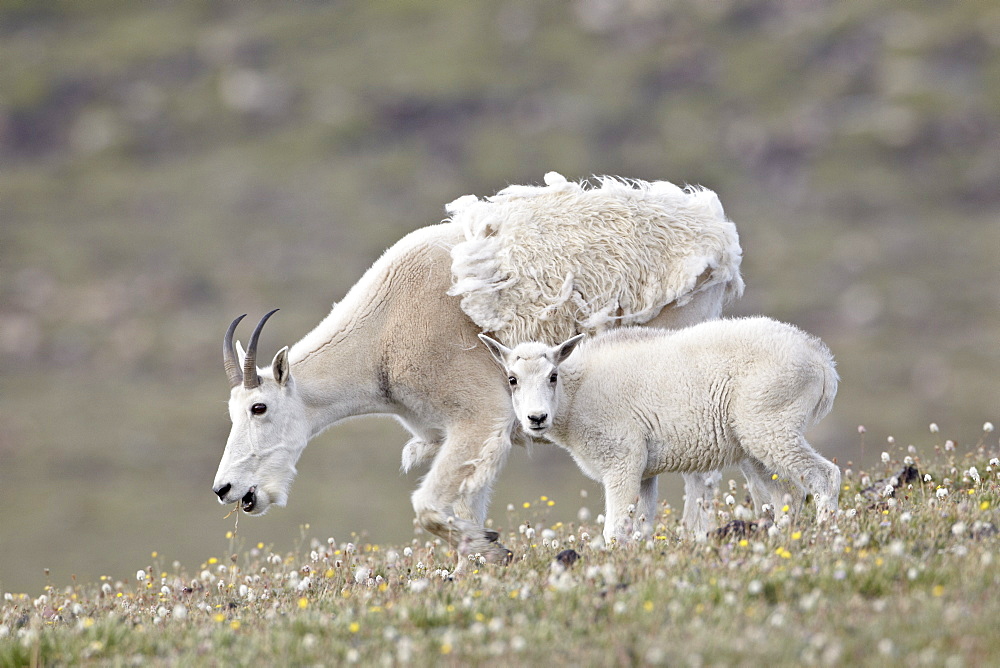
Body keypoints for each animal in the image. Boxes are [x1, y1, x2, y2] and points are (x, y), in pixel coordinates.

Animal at [211, 171, 744, 560]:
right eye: (233, 411)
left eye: (259, 407)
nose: (225, 489)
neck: (380, 339)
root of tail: (718, 236)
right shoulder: (467, 431)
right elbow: (467, 502)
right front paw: (479, 561)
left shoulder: (479, 415)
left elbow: (427, 505)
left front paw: (490, 546)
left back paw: (698, 536)